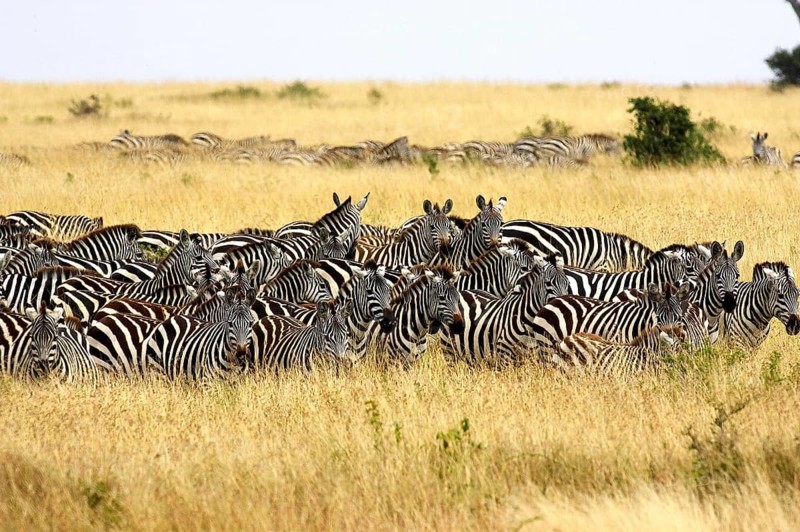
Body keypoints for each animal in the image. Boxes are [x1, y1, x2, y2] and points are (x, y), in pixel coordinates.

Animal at [441, 253, 570, 365]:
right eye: (548, 283)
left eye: (567, 283)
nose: (562, 304)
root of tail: (463, 291)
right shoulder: (504, 357)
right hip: (449, 351)